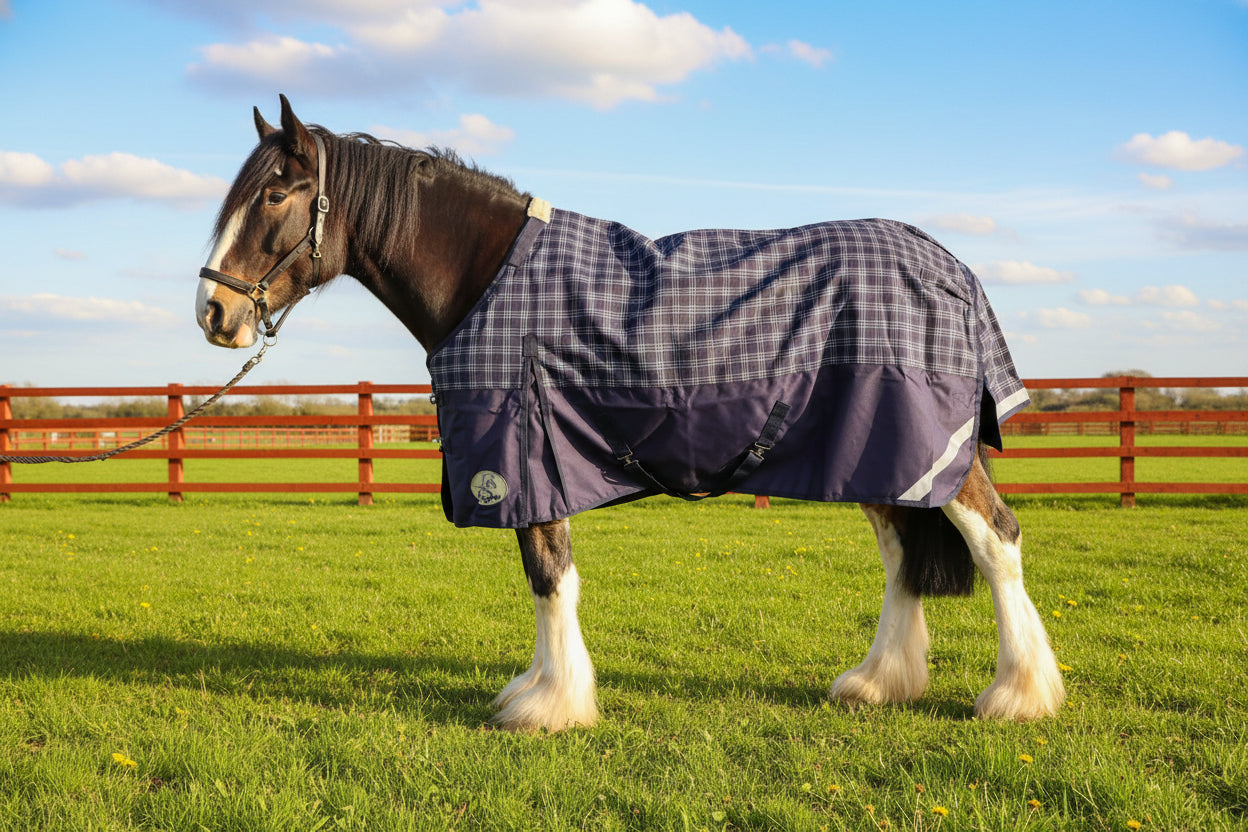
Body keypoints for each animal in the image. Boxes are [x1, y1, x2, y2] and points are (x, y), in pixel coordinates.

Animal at [194, 96, 1065, 732]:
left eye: (275, 193)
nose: (213, 313)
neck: (491, 279)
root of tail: (950, 264)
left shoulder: (524, 457)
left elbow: (549, 575)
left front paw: (550, 706)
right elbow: (549, 576)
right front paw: (541, 689)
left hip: (931, 449)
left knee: (997, 541)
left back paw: (1017, 695)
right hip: (878, 454)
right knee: (901, 556)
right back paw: (878, 683)